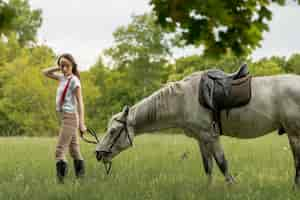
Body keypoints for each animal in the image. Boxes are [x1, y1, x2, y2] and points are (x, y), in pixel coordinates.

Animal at [95, 71, 300, 185]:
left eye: (113, 131)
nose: (98, 154)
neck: (183, 99)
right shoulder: (201, 139)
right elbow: (208, 167)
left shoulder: (211, 136)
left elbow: (223, 165)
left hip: (294, 134)